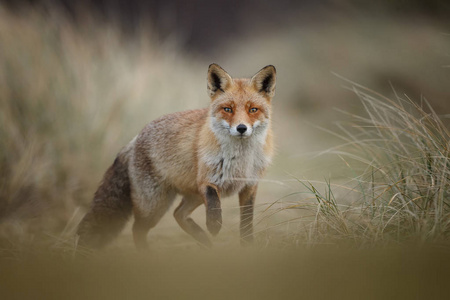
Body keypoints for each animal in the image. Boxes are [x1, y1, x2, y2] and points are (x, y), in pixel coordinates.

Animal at [76, 63, 274, 248]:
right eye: (228, 109)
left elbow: (246, 223)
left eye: (253, 110)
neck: (241, 160)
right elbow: (214, 203)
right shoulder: (207, 180)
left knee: (178, 214)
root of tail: (135, 138)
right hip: (154, 205)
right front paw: (214, 224)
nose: (241, 128)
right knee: (138, 228)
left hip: (189, 197)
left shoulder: (250, 184)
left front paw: (247, 245)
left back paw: (204, 242)